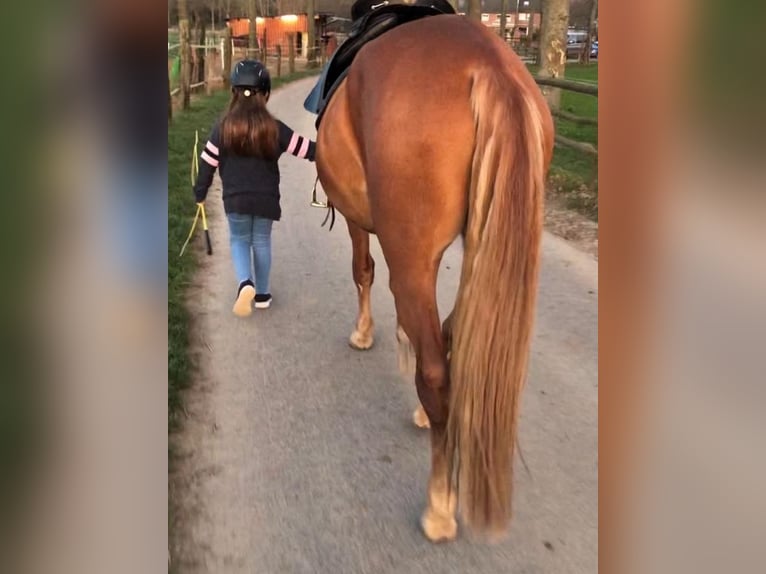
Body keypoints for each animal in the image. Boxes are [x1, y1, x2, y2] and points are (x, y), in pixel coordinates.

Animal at [316, 15, 556, 544]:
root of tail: (490, 65)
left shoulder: (361, 222)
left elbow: (363, 272)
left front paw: (363, 334)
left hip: (414, 254)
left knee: (435, 373)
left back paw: (440, 505)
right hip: (485, 242)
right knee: (452, 340)